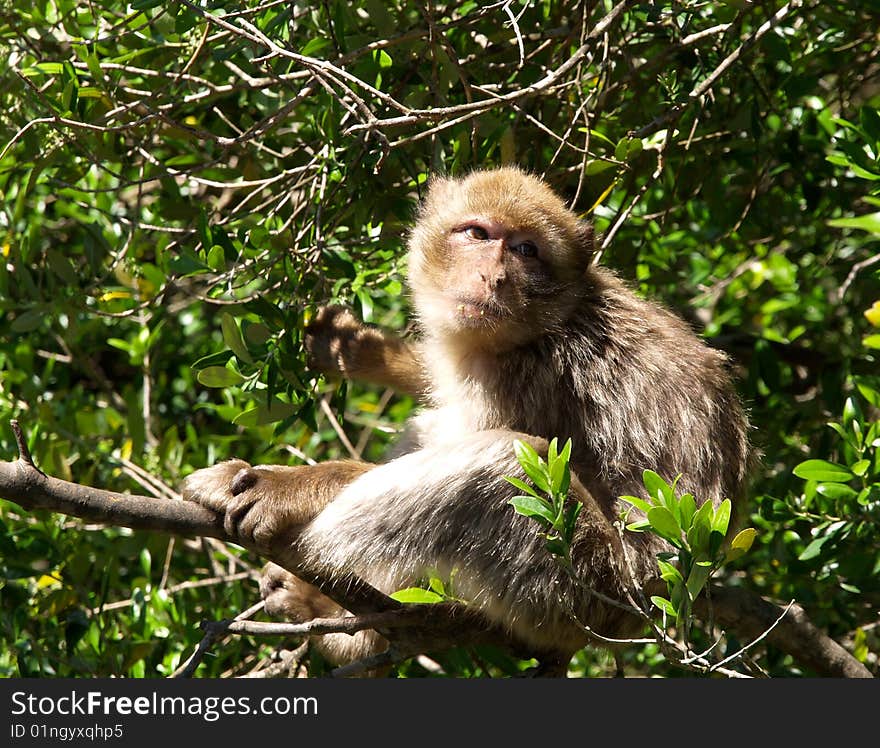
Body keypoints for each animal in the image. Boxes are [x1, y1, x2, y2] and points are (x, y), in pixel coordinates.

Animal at [182, 167, 752, 668]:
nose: (492, 277)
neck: (547, 321)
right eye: (477, 233)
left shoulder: (528, 378)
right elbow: (436, 389)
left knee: (496, 464)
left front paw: (285, 486)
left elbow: (496, 447)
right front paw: (359, 350)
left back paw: (356, 622)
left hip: (580, 585)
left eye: (526, 250)